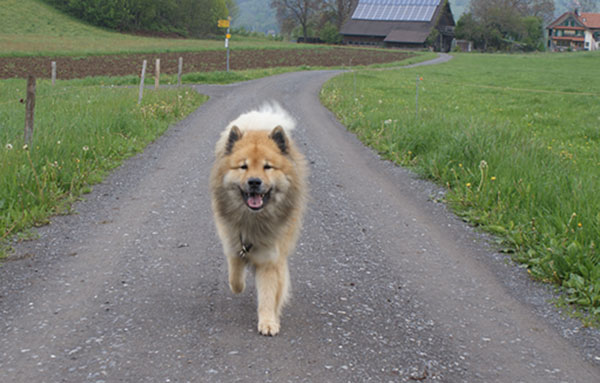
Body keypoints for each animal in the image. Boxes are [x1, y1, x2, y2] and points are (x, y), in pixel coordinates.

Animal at [210, 103, 310, 336]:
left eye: (267, 166)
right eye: (243, 166)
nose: (254, 182)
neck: (253, 219)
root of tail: (258, 125)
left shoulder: (270, 258)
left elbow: (268, 293)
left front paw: (268, 322)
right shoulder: (232, 243)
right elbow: (235, 276)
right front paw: (240, 285)